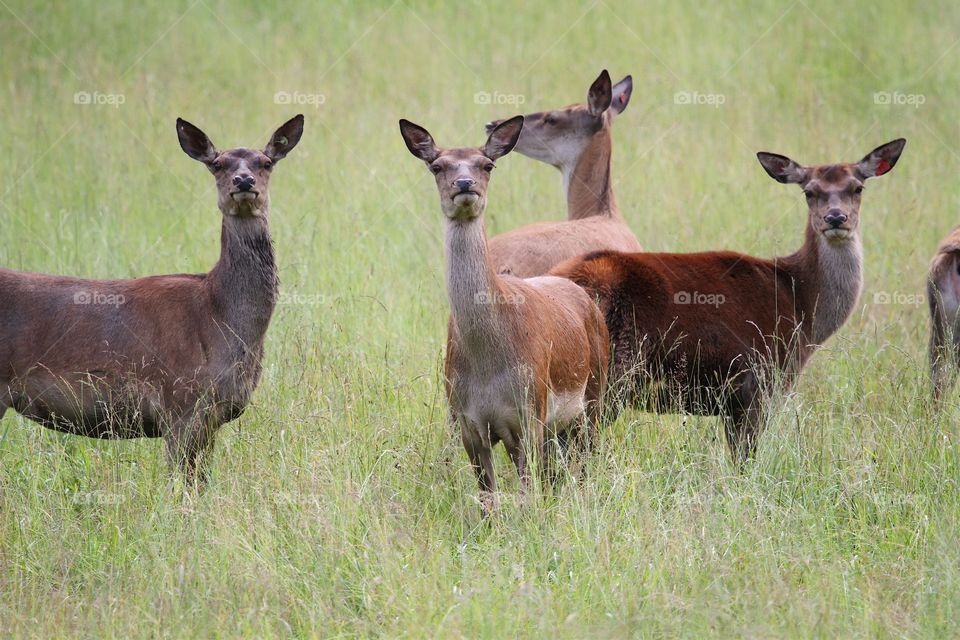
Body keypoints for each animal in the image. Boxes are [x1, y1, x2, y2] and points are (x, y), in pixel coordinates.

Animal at [0, 116, 304, 484]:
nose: (243, 180)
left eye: (266, 162)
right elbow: (181, 484)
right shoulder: (180, 402)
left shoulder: (213, 416)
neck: (219, 314)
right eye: (217, 164)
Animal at [402, 116, 612, 516]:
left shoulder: (530, 414)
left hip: (593, 396)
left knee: (582, 464)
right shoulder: (468, 424)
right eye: (437, 166)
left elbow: (528, 494)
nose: (464, 184)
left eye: (487, 165)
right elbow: (488, 501)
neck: (488, 365)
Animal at [552, 139, 904, 460]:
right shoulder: (758, 384)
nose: (835, 218)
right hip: (613, 375)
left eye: (857, 188)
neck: (801, 306)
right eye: (809, 191)